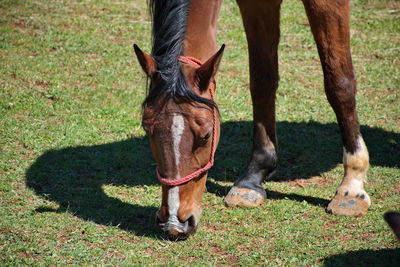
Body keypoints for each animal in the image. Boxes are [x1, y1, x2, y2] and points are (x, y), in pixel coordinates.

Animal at [135, 0, 372, 240]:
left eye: (206, 135)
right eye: (147, 129)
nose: (174, 223)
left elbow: (339, 83)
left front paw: (352, 185)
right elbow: (262, 81)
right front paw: (254, 177)